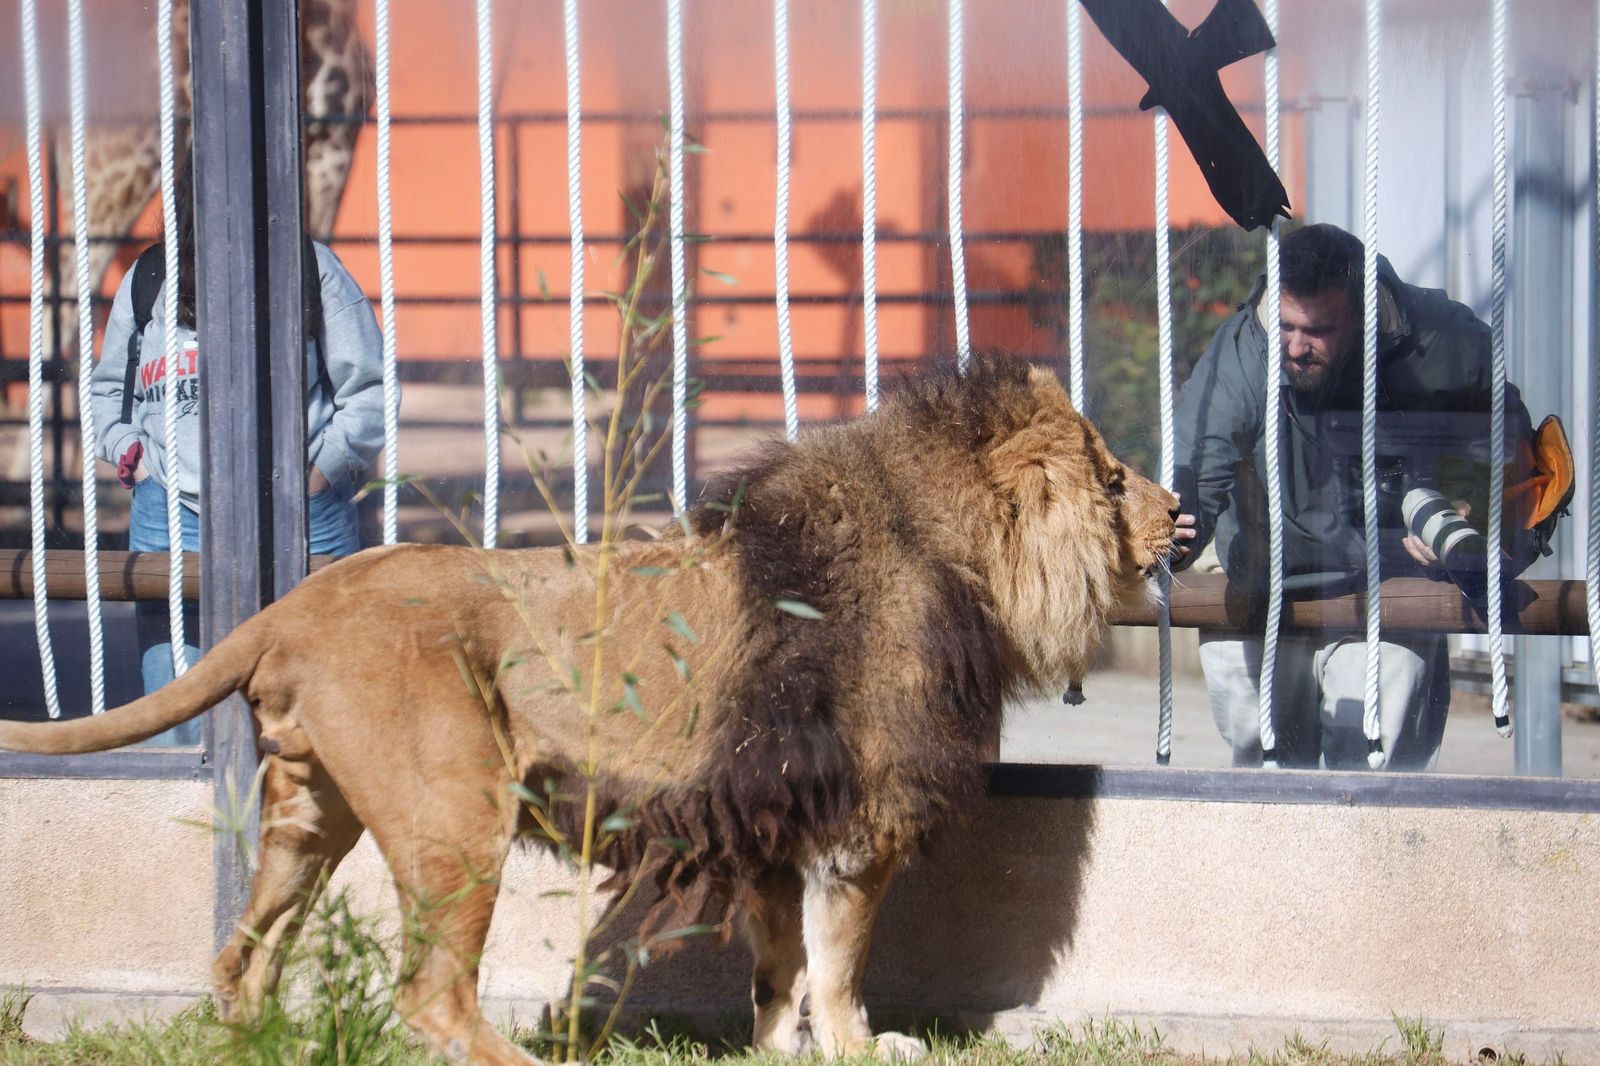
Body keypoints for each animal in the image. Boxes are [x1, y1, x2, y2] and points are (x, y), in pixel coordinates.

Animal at [0, 356, 1176, 1065]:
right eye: (1115, 479)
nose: (1190, 516)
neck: (950, 551)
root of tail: (294, 599)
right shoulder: (857, 821)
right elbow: (840, 964)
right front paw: (857, 1045)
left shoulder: (771, 819)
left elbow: (778, 967)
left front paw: (773, 1051)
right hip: (456, 816)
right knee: (430, 993)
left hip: (308, 813)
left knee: (243, 958)